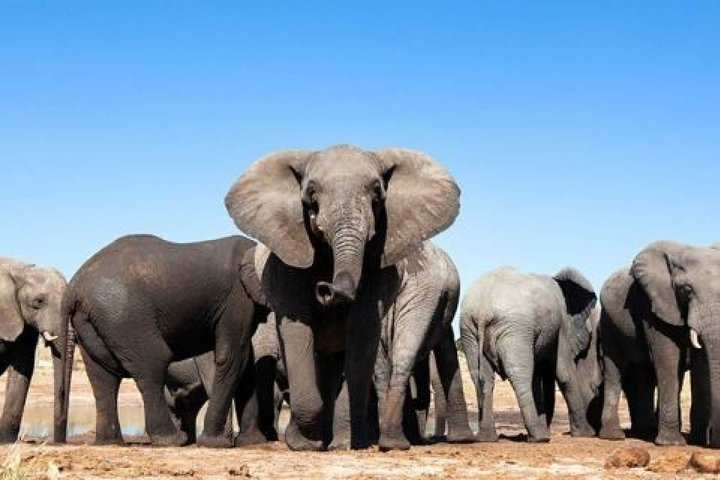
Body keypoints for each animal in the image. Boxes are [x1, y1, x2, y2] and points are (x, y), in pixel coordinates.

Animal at [61, 234, 268, 447]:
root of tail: (74, 286)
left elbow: (246, 363)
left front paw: (252, 442)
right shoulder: (237, 298)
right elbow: (233, 357)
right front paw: (217, 443)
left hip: (94, 321)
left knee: (102, 377)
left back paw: (111, 442)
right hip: (124, 315)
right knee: (152, 365)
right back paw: (172, 440)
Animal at [225, 144, 464, 451]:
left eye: (377, 193)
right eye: (311, 194)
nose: (326, 288)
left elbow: (361, 331)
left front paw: (341, 443)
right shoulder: (286, 261)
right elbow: (298, 330)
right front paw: (305, 444)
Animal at [460, 266, 600, 442]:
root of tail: (483, 310)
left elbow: (538, 376)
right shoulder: (561, 324)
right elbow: (564, 373)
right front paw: (585, 434)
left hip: (469, 330)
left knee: (482, 378)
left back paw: (487, 438)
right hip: (515, 330)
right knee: (520, 375)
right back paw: (539, 437)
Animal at [599, 241, 720, 446]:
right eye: (686, 290)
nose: (715, 442)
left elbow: (701, 364)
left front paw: (697, 441)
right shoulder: (654, 305)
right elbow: (668, 355)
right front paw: (672, 443)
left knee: (645, 374)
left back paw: (645, 432)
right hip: (607, 323)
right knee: (614, 370)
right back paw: (613, 436)